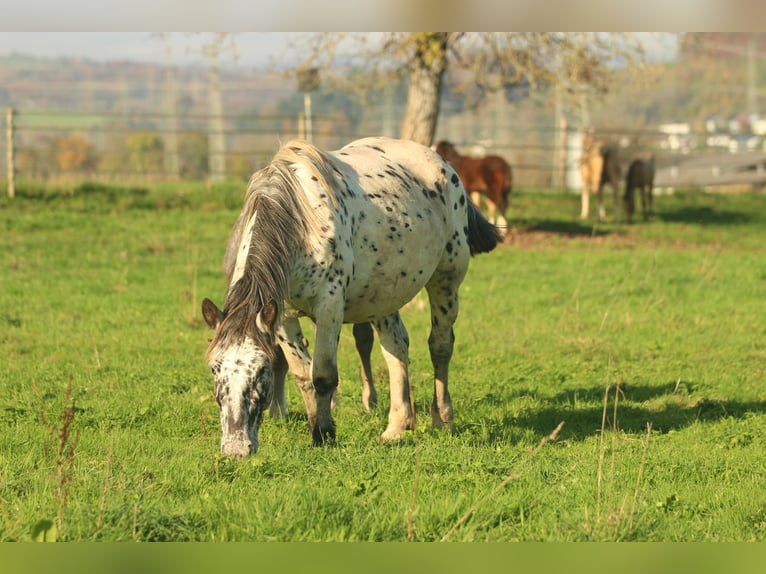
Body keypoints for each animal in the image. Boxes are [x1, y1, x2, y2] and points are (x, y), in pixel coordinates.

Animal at [202, 135, 504, 460]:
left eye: (260, 370)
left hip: (446, 282)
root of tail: (443, 164)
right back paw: (397, 427)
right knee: (396, 347)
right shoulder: (282, 316)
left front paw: (323, 434)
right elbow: (303, 374)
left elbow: (323, 375)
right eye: (214, 368)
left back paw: (442, 419)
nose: (235, 447)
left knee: (440, 347)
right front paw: (315, 424)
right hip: (384, 295)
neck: (301, 223)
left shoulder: (329, 306)